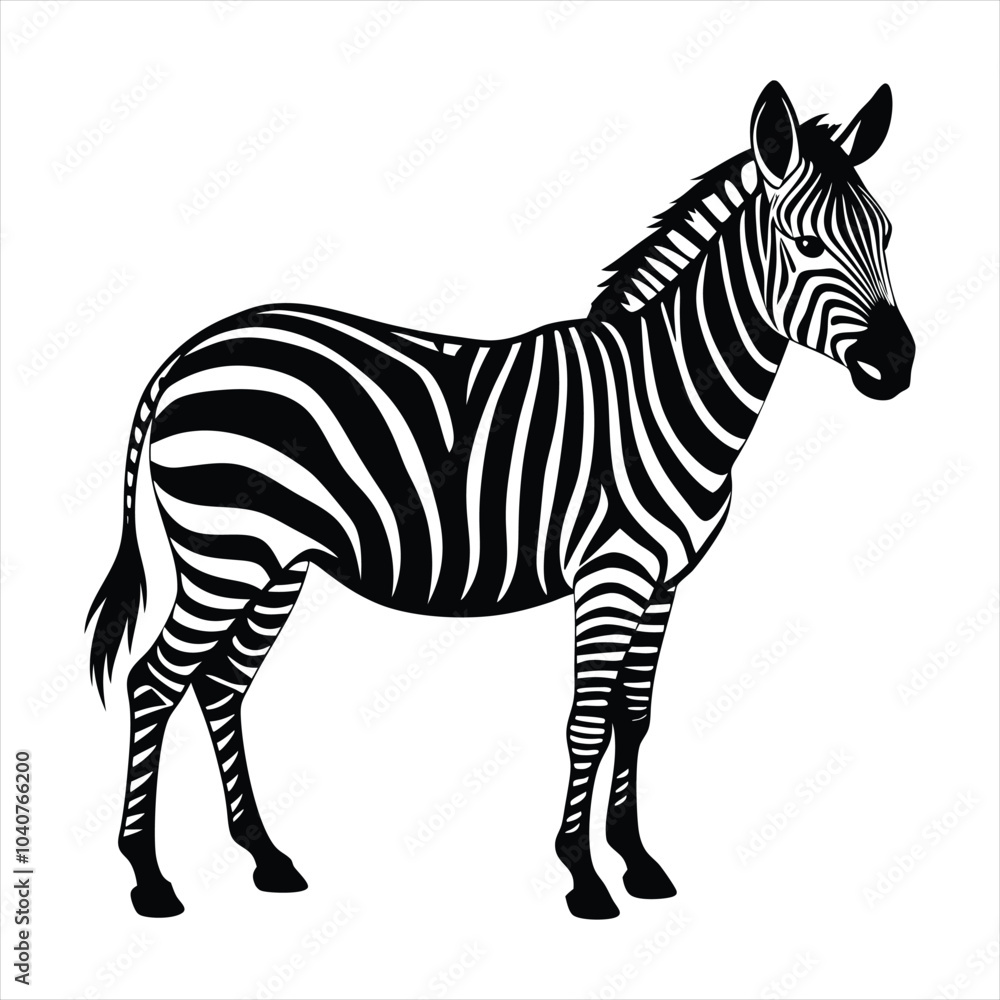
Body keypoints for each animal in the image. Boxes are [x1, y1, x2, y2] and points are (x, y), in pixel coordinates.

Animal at [87, 81, 914, 920]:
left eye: (885, 233)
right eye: (805, 243)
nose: (899, 363)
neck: (668, 391)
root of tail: (190, 351)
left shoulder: (663, 585)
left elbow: (635, 718)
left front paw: (638, 862)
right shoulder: (611, 578)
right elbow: (588, 721)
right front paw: (584, 876)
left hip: (277, 566)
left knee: (221, 685)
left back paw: (266, 856)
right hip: (226, 556)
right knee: (154, 682)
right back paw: (148, 877)